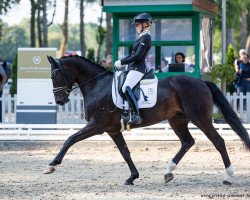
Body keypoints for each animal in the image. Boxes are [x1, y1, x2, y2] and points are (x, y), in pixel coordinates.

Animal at [45, 55, 250, 186]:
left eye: (56, 75)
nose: (59, 101)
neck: (97, 85)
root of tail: (202, 82)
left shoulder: (97, 125)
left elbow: (70, 139)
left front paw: (52, 165)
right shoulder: (112, 129)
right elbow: (125, 152)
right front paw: (132, 177)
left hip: (200, 118)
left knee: (218, 141)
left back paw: (228, 177)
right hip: (177, 120)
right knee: (187, 142)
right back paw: (168, 172)